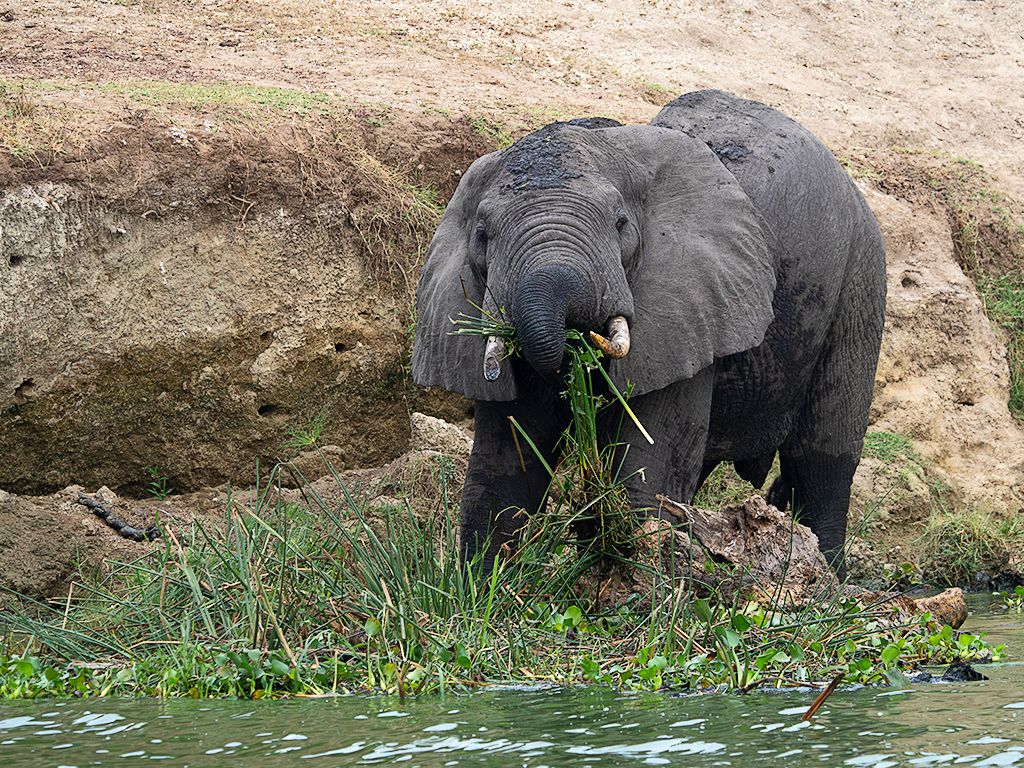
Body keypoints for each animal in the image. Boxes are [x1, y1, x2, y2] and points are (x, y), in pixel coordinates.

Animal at [412, 90, 886, 576]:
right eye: (482, 236)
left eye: (620, 223)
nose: (575, 349)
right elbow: (502, 470)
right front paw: (487, 589)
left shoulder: (688, 300)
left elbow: (646, 469)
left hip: (861, 275)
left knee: (820, 463)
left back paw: (826, 579)